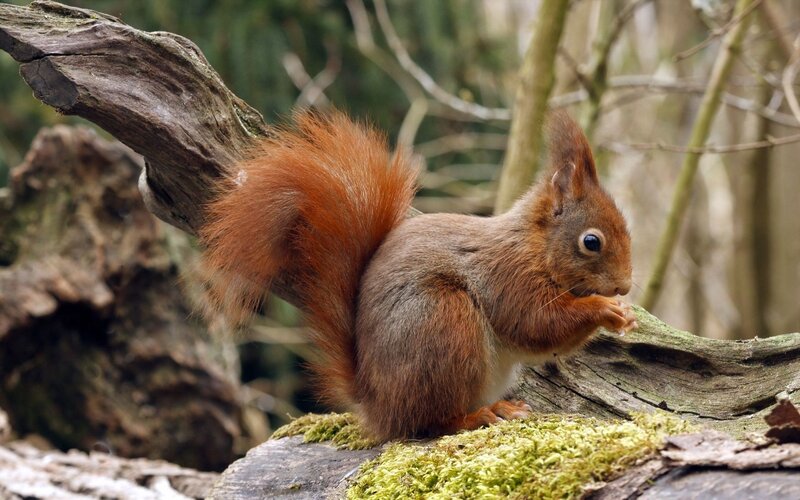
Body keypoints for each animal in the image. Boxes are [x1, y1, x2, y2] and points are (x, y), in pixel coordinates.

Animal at [200, 110, 637, 441]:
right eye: (591, 241)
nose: (625, 285)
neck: (534, 246)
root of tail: (377, 404)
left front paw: (623, 312)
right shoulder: (507, 276)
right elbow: (537, 323)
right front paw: (605, 309)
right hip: (443, 321)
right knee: (430, 423)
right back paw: (479, 416)